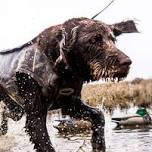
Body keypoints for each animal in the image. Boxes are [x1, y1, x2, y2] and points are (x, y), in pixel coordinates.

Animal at [0, 17, 138, 151]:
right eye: (94, 39)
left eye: (113, 40)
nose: (127, 62)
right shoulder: (36, 117)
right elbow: (46, 145)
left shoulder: (70, 105)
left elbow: (99, 114)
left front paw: (98, 143)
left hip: (17, 109)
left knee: (8, 112)